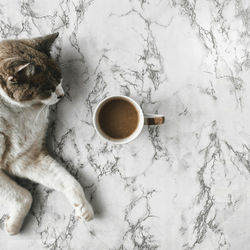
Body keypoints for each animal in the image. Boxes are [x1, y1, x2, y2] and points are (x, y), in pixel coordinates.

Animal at [0, 32, 94, 235]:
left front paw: (84, 208)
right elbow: (21, 194)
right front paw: (12, 228)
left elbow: (67, 180)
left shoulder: (28, 157)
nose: (62, 95)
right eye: (47, 88)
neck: (16, 113)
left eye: (60, 78)